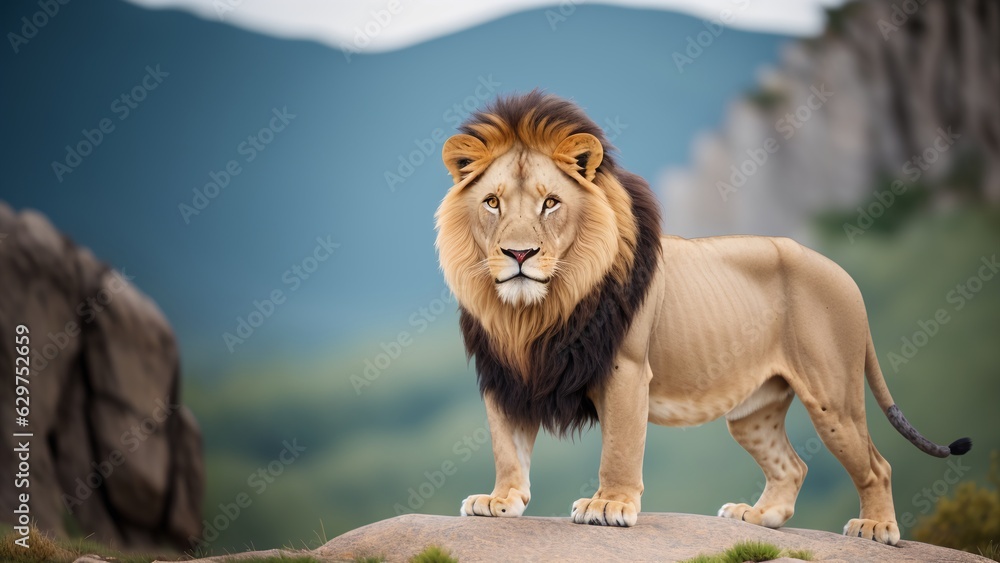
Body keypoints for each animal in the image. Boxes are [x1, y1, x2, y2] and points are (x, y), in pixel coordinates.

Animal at [434, 91, 971, 545]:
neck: (532, 313)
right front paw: (500, 500)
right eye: (492, 202)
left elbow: (620, 447)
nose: (519, 254)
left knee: (877, 465)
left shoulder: (627, 369)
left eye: (551, 203)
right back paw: (758, 516)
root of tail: (843, 273)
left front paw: (609, 505)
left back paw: (877, 528)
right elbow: (507, 444)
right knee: (792, 466)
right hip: (754, 410)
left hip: (833, 398)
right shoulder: (505, 374)